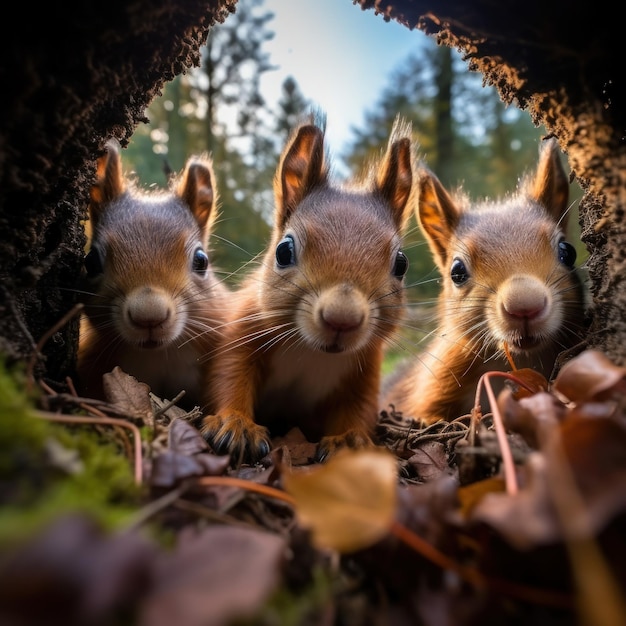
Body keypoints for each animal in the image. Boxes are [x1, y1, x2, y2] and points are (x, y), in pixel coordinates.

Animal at [200, 114, 414, 464]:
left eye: (401, 264)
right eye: (284, 251)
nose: (342, 319)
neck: (310, 350)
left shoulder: (365, 370)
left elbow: (359, 408)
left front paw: (349, 441)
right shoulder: (243, 330)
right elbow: (229, 376)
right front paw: (236, 425)